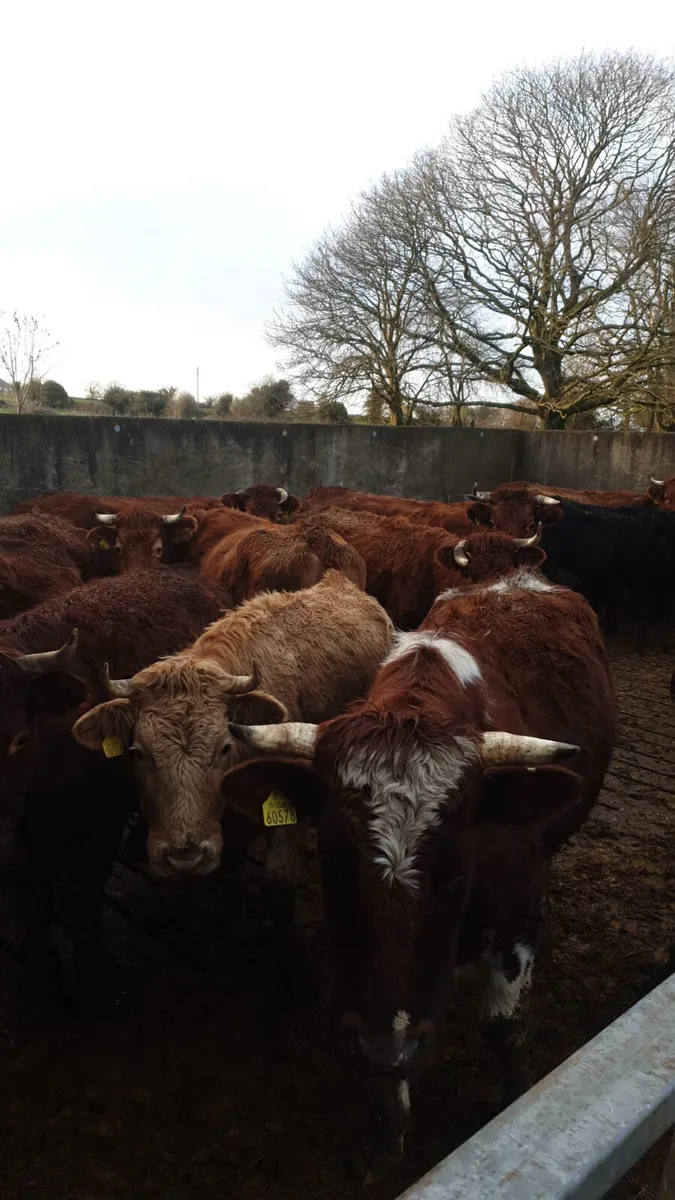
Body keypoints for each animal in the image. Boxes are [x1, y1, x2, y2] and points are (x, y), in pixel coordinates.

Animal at [0, 567, 228, 999]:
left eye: (19, 739)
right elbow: (32, 904)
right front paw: (43, 972)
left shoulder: (102, 820)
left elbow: (83, 899)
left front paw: (92, 974)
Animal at [220, 542, 615, 1168]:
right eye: (332, 862)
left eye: (457, 869)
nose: (394, 1042)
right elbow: (389, 1068)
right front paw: (391, 1131)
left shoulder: (518, 907)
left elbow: (504, 1025)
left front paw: (514, 1099)